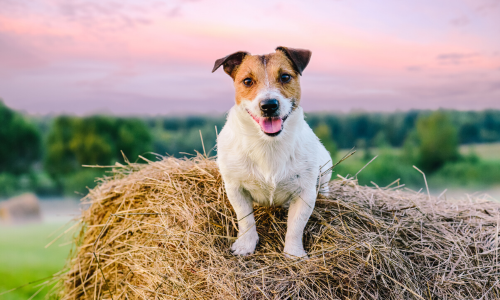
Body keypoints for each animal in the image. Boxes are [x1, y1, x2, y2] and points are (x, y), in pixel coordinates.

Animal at [211, 46, 332, 258]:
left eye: (285, 77)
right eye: (247, 81)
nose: (269, 105)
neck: (268, 144)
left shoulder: (305, 192)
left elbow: (296, 226)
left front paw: (294, 253)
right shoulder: (235, 188)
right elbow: (246, 220)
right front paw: (245, 246)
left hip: (325, 167)